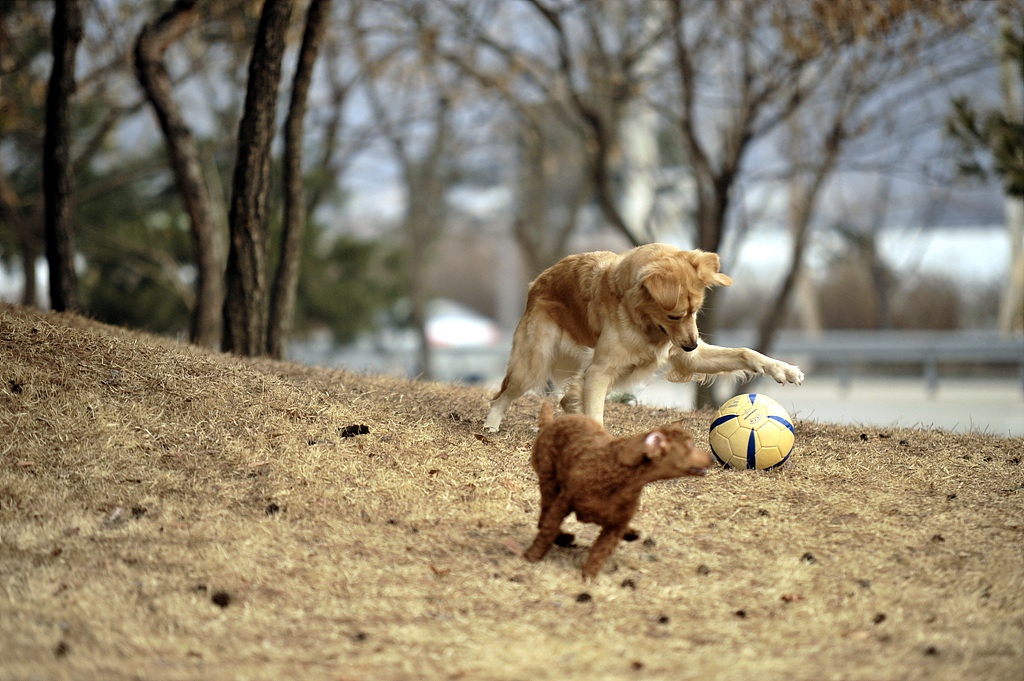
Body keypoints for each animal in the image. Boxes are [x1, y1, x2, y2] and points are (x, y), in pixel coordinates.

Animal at [483, 244, 802, 430]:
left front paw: (783, 369)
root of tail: (536, 282)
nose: (691, 345)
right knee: (503, 395)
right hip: (533, 364)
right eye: (674, 316)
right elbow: (595, 412)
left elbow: (745, 352)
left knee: (569, 393)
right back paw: (491, 426)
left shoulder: (689, 357)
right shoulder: (600, 371)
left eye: (696, 312)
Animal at [524, 403, 708, 577]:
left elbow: (600, 552)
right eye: (691, 444)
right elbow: (548, 529)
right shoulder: (564, 501)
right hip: (549, 480)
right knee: (544, 517)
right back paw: (562, 538)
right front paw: (532, 556)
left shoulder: (616, 524)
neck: (621, 476)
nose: (711, 457)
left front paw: (588, 577)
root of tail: (549, 423)